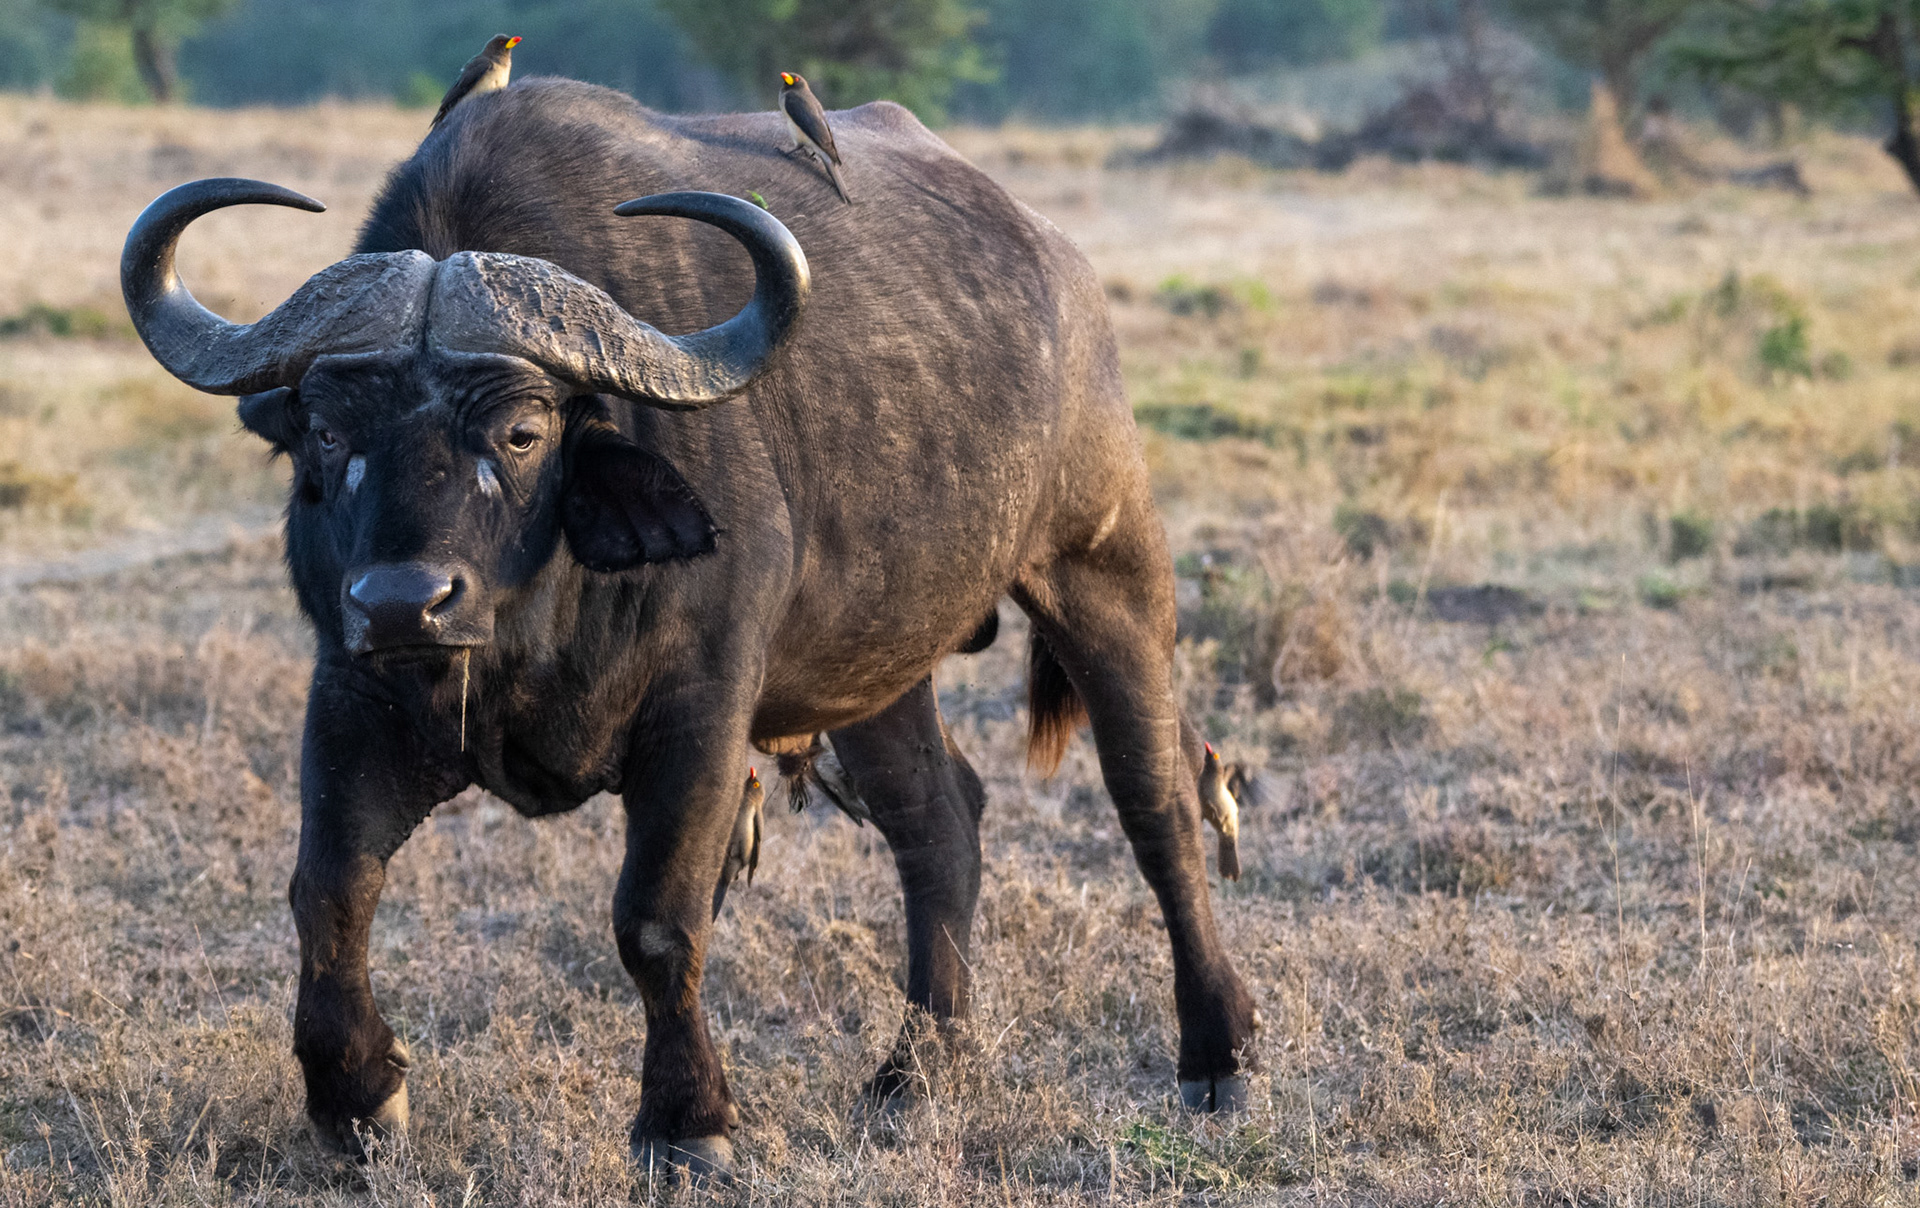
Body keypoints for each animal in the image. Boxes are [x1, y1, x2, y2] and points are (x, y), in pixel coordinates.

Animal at [120, 78, 1257, 1177]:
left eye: (521, 431)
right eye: (326, 430)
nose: (404, 599)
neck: (537, 618)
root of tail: (1059, 266)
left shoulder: (701, 714)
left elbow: (658, 918)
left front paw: (687, 1122)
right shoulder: (353, 694)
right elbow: (328, 893)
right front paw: (357, 1099)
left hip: (1104, 565)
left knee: (1159, 800)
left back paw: (1219, 1055)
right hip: (877, 667)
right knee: (939, 822)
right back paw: (916, 1073)